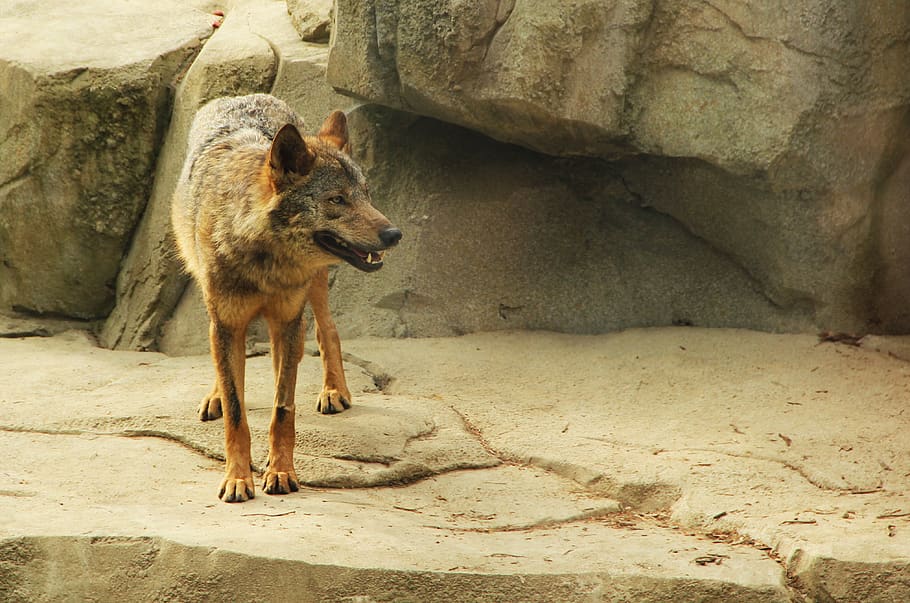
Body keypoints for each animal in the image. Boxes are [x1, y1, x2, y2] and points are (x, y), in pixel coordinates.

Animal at [171, 94, 401, 502]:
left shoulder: (287, 320)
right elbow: (236, 411)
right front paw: (237, 478)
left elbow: (283, 409)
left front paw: (280, 472)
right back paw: (216, 395)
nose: (394, 234)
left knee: (325, 331)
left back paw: (334, 391)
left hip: (313, 289)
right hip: (210, 296)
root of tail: (245, 96)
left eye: (367, 194)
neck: (264, 257)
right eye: (337, 199)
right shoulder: (228, 322)